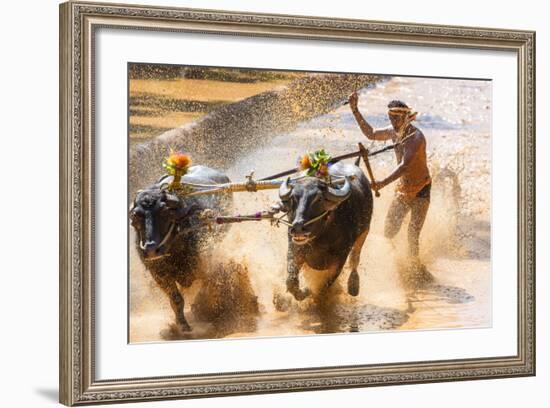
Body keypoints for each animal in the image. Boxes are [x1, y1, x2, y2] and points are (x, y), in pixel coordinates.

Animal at [130, 166, 233, 332]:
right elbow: (176, 299)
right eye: (136, 215)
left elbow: (206, 287)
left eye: (165, 212)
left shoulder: (203, 263)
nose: (151, 249)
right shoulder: (158, 273)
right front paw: (182, 324)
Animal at [280, 162, 376, 300]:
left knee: (355, 259)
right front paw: (305, 291)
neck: (321, 237)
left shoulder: (339, 261)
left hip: (364, 231)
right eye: (293, 198)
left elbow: (323, 286)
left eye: (318, 199)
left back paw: (353, 285)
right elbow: (291, 281)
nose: (298, 227)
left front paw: (313, 294)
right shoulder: (295, 251)